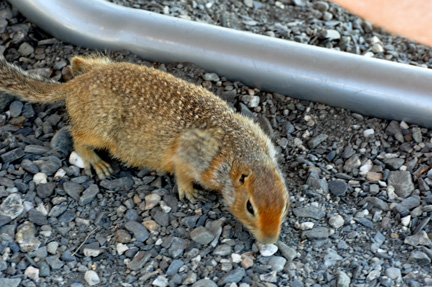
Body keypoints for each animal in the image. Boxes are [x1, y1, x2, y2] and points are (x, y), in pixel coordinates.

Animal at [0, 55, 290, 244]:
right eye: (250, 207)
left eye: (285, 204)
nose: (270, 241)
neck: (241, 152)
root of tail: (73, 86)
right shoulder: (192, 158)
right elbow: (182, 174)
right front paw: (188, 192)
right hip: (99, 128)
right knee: (77, 137)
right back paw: (95, 161)